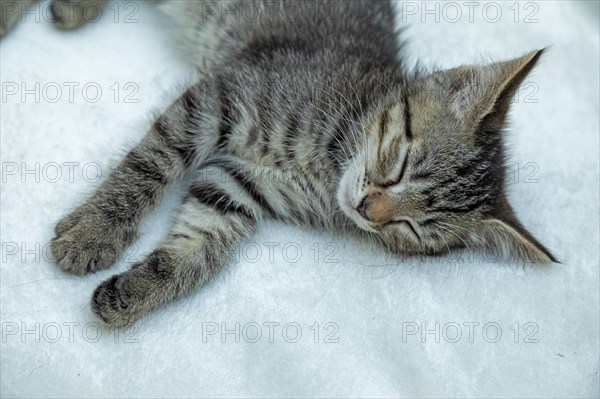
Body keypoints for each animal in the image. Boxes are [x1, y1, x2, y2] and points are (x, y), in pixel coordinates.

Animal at [3, 0, 556, 328]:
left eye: (413, 229)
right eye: (401, 163)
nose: (368, 209)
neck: (329, 162)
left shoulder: (234, 186)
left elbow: (196, 247)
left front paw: (134, 293)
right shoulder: (218, 100)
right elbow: (150, 164)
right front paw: (94, 232)